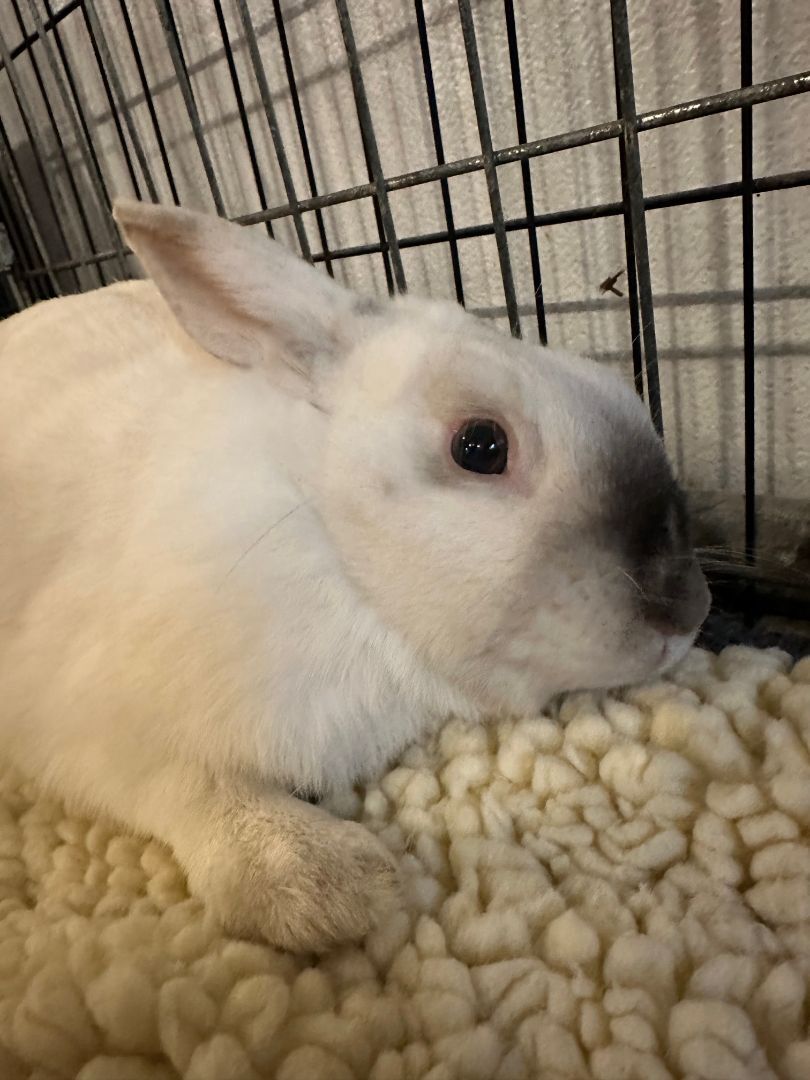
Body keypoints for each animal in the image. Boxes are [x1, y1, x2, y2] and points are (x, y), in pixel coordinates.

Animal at [0, 199, 710, 952]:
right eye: (480, 445)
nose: (688, 608)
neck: (329, 536)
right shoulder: (96, 728)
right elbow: (195, 787)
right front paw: (337, 889)